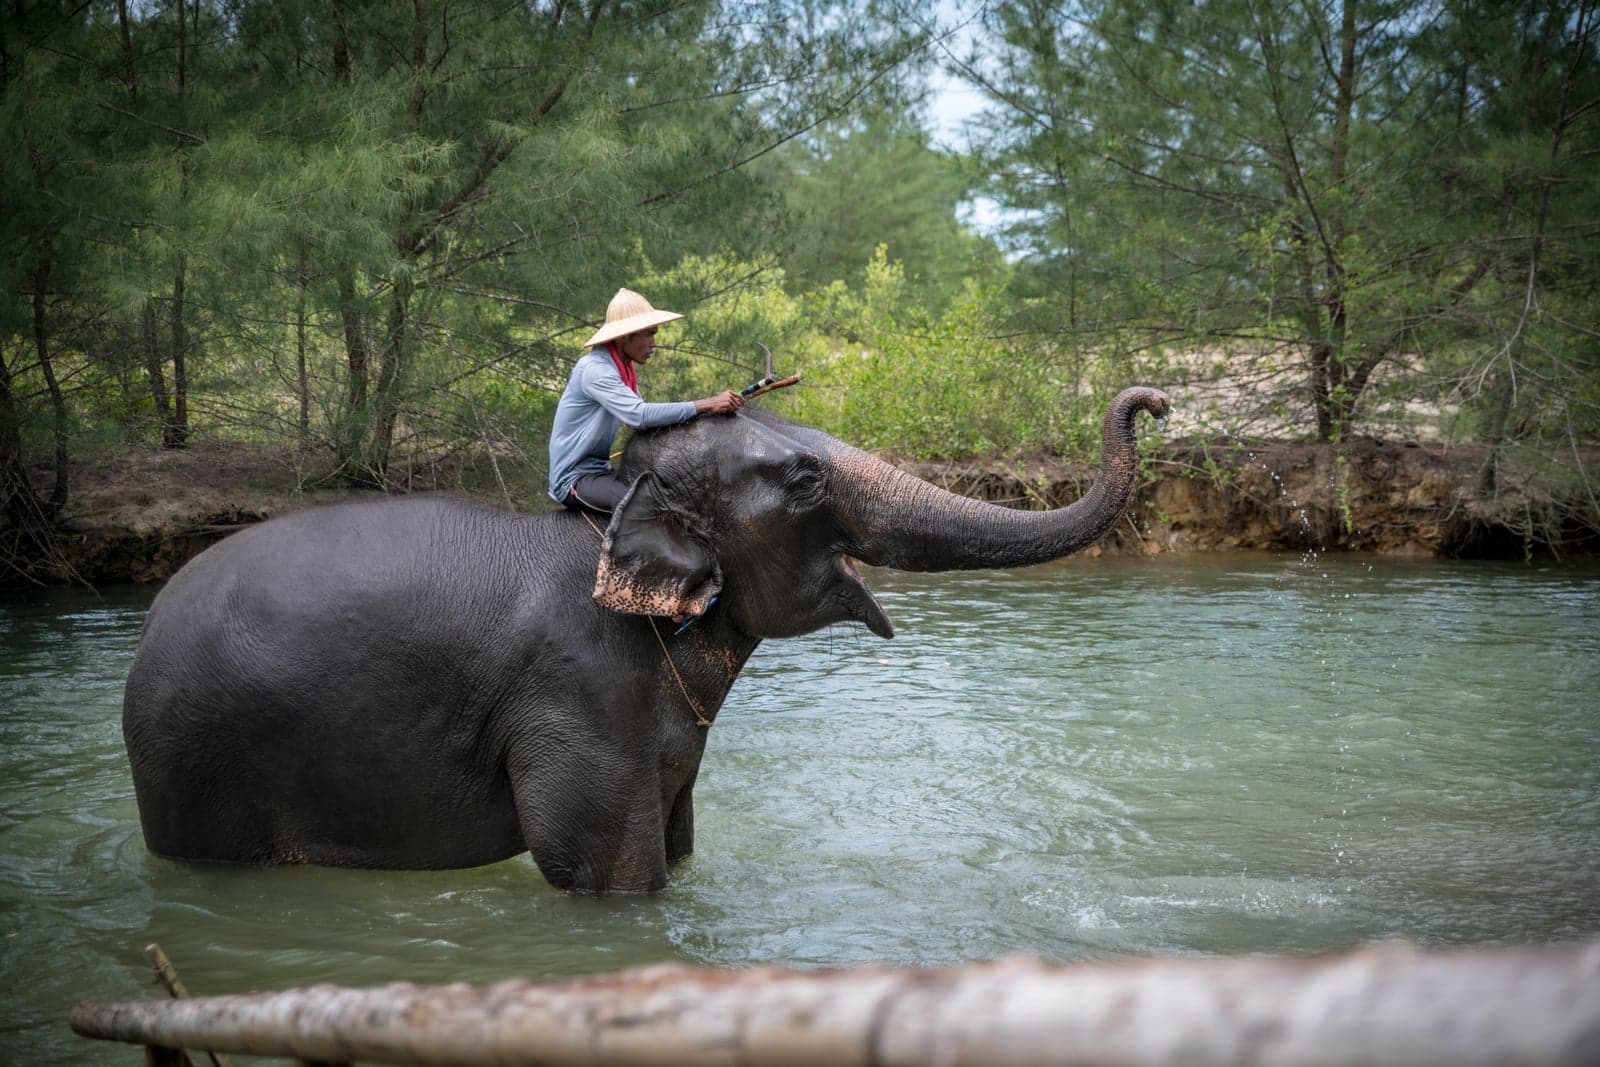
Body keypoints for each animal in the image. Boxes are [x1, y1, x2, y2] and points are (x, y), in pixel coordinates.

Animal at [122, 386, 1169, 893]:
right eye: (804, 480)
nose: (1154, 404)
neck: (620, 507)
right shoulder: (579, 692)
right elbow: (602, 868)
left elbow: (679, 837)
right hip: (197, 768)